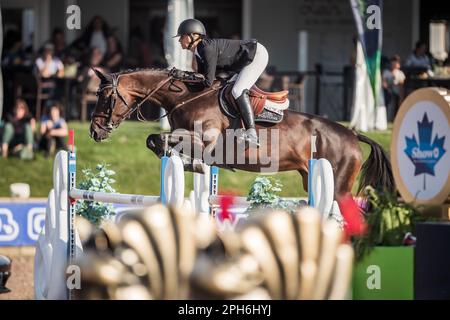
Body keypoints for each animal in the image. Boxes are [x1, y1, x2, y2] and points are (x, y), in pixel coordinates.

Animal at [90, 67, 394, 199]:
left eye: (106, 97)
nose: (95, 131)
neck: (186, 98)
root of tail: (353, 135)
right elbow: (155, 139)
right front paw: (191, 163)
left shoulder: (204, 141)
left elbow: (158, 138)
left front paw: (191, 163)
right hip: (312, 180)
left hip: (339, 188)